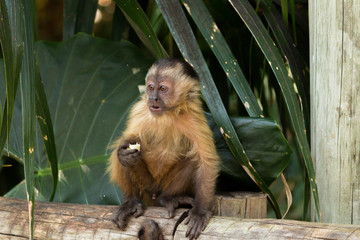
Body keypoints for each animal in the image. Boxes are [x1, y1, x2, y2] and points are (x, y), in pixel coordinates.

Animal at [108, 58, 218, 240]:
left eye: (163, 89)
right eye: (151, 87)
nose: (153, 98)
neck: (167, 114)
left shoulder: (195, 117)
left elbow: (206, 161)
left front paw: (200, 212)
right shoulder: (140, 111)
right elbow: (128, 141)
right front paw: (125, 153)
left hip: (161, 186)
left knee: (192, 159)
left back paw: (168, 198)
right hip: (146, 186)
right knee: (123, 154)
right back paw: (131, 202)